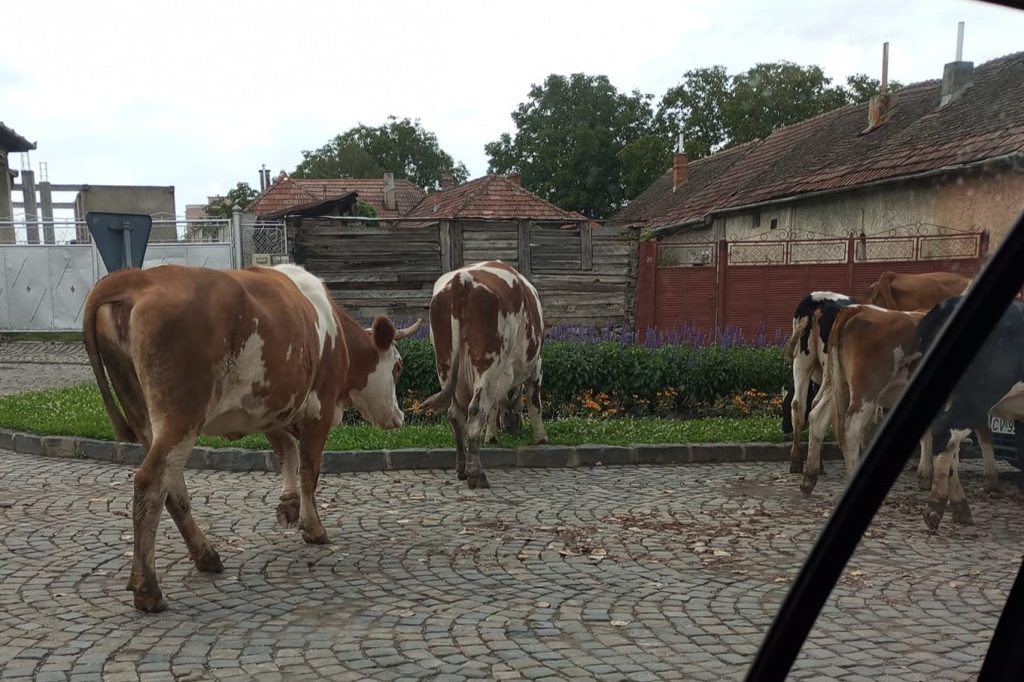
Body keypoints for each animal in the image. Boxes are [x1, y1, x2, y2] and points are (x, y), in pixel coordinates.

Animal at [82, 261, 419, 610]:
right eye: (398, 366)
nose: (399, 416)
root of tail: (139, 278)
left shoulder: (271, 407)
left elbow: (287, 453)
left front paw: (289, 505)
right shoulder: (320, 411)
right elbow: (309, 469)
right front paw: (313, 528)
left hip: (145, 415)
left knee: (172, 487)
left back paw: (206, 556)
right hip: (181, 416)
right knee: (151, 482)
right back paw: (148, 589)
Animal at [415, 260, 548, 489]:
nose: (511, 425)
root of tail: (461, 280)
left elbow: (493, 409)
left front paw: (492, 436)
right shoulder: (535, 367)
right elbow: (534, 403)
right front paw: (541, 438)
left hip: (445, 364)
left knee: (455, 414)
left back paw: (462, 468)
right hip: (488, 364)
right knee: (476, 411)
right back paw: (477, 475)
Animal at [786, 292, 860, 473]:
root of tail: (817, 299)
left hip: (802, 363)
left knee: (799, 405)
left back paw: (797, 460)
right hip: (830, 371)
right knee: (816, 406)